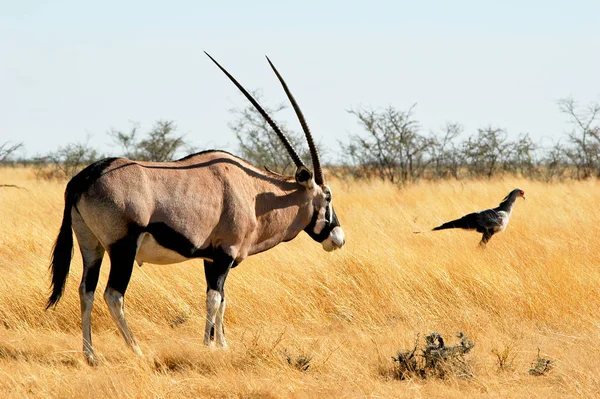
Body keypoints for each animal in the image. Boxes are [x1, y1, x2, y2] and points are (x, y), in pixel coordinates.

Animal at [45, 53, 346, 366]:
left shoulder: (211, 259)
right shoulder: (225, 254)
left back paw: (90, 355)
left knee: (86, 290)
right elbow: (214, 299)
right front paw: (210, 347)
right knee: (113, 295)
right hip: (122, 248)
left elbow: (221, 299)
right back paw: (137, 351)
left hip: (91, 246)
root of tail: (84, 178)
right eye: (327, 197)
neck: (254, 194)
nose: (338, 237)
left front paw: (221, 344)